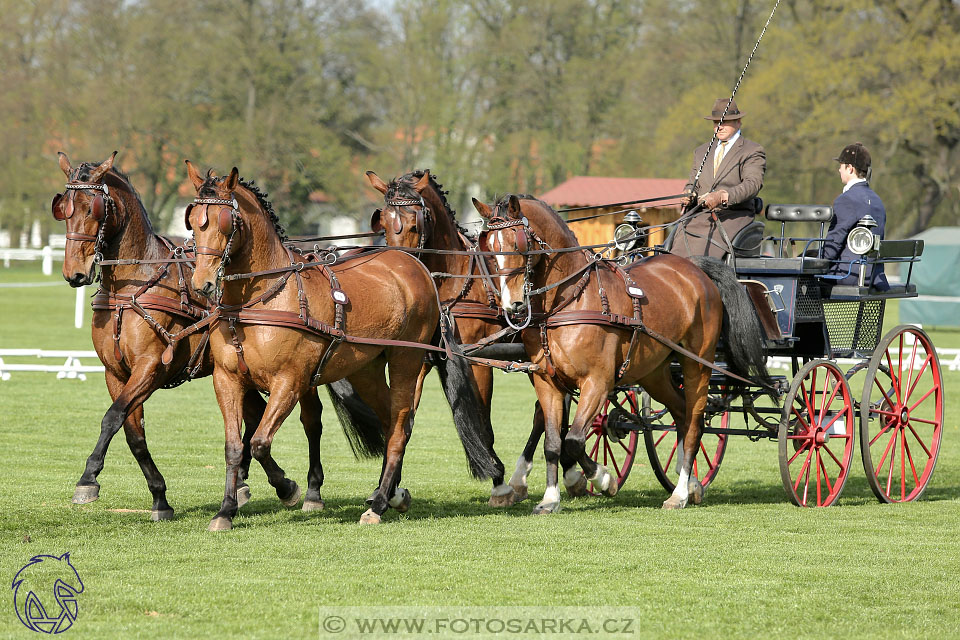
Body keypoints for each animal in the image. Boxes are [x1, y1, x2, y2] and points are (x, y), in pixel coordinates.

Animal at [183, 161, 492, 528]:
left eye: (224, 222)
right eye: (193, 220)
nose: (201, 283)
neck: (257, 302)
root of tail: (414, 265)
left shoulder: (289, 381)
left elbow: (259, 442)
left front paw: (288, 488)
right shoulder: (227, 380)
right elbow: (234, 446)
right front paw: (226, 510)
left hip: (406, 358)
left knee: (401, 426)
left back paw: (378, 504)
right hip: (365, 368)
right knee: (389, 421)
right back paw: (391, 494)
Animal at [472, 196, 772, 516]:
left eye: (518, 244)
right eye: (489, 248)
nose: (513, 305)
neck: (569, 301)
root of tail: (695, 269)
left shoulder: (597, 382)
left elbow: (573, 441)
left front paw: (603, 478)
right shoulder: (547, 383)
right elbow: (553, 442)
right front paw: (550, 499)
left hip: (697, 365)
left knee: (694, 422)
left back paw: (679, 493)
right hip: (654, 373)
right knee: (681, 414)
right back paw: (690, 483)